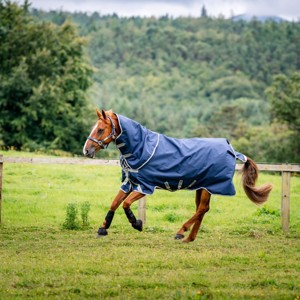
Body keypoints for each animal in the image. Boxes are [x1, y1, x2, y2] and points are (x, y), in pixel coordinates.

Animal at [83, 109, 274, 243]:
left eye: (100, 129)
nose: (86, 150)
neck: (141, 148)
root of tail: (232, 150)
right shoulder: (130, 183)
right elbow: (115, 203)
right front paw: (103, 229)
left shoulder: (145, 186)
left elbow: (126, 204)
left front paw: (136, 223)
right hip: (201, 186)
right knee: (202, 209)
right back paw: (189, 238)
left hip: (209, 186)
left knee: (202, 209)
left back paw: (181, 232)